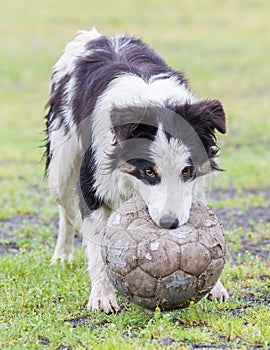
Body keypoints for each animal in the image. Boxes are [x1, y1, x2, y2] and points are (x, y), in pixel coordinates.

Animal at [45, 28, 229, 312]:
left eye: (186, 171)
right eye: (150, 172)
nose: (169, 224)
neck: (152, 102)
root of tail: (95, 36)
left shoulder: (194, 186)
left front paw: (215, 286)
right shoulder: (93, 179)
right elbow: (96, 241)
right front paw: (102, 296)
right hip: (60, 164)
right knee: (66, 208)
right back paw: (62, 254)